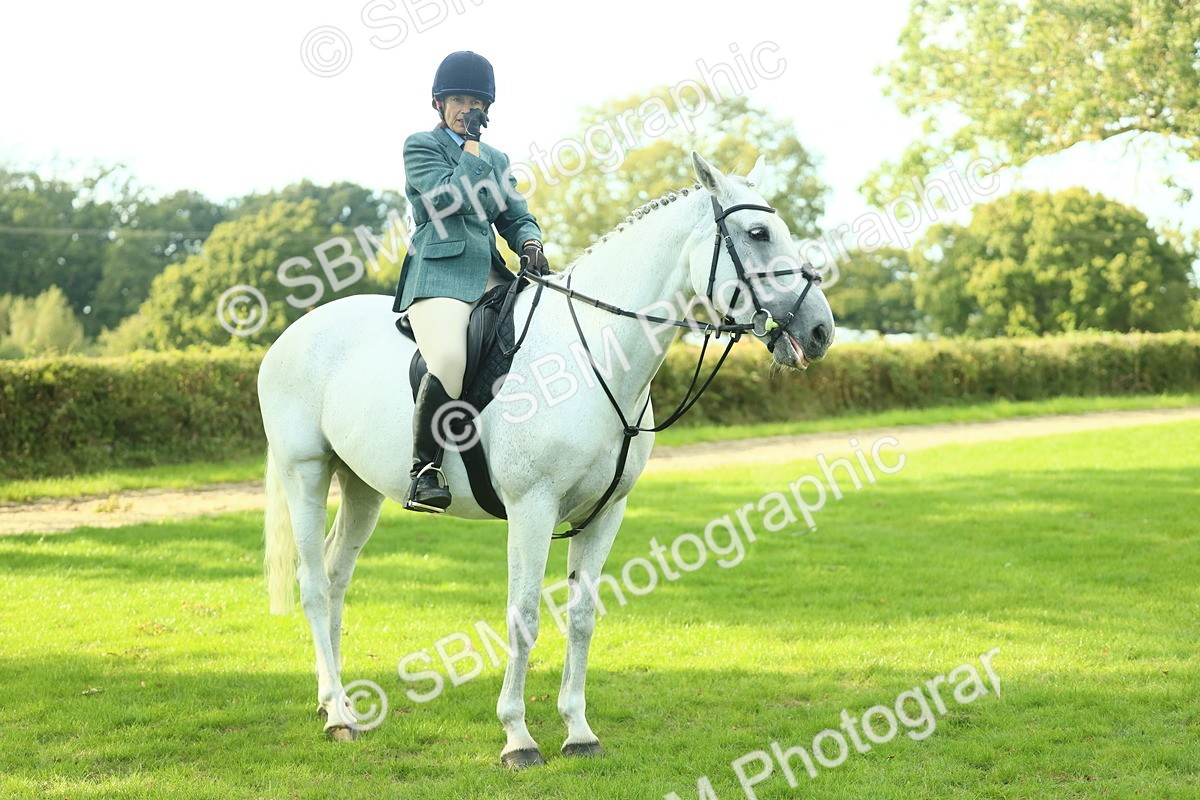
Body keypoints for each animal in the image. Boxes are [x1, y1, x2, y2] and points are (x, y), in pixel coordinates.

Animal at [259, 151, 835, 767]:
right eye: (757, 234)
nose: (820, 330)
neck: (594, 351)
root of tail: (291, 333)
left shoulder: (606, 513)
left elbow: (582, 615)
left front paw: (578, 731)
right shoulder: (532, 509)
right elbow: (524, 615)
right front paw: (518, 737)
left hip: (361, 485)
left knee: (337, 576)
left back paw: (335, 698)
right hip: (306, 472)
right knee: (314, 585)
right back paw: (339, 717)